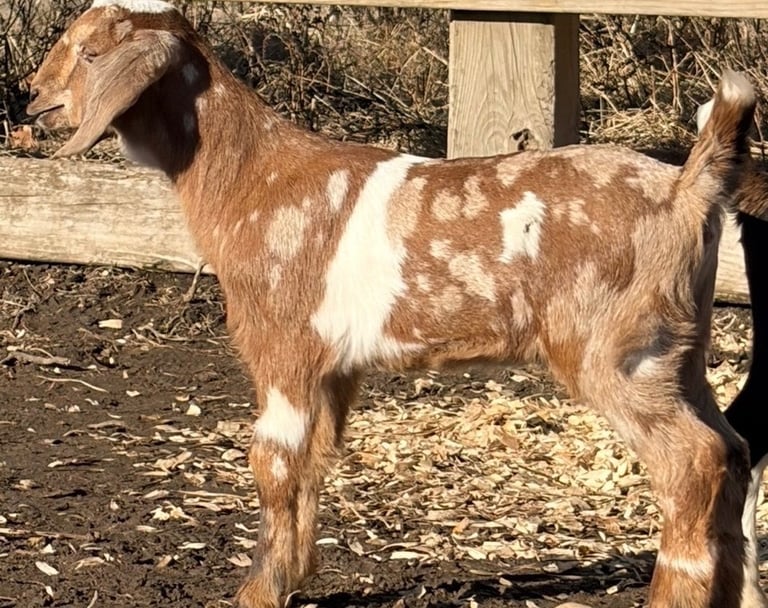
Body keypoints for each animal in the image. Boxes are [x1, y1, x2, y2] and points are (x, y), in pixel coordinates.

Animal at [27, 2, 756, 606]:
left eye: (90, 52)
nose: (32, 100)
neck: (252, 179)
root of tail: (687, 189)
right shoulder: (334, 368)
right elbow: (315, 460)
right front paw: (294, 579)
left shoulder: (284, 348)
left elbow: (272, 461)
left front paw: (257, 592)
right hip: (680, 352)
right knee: (736, 449)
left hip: (618, 351)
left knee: (694, 463)